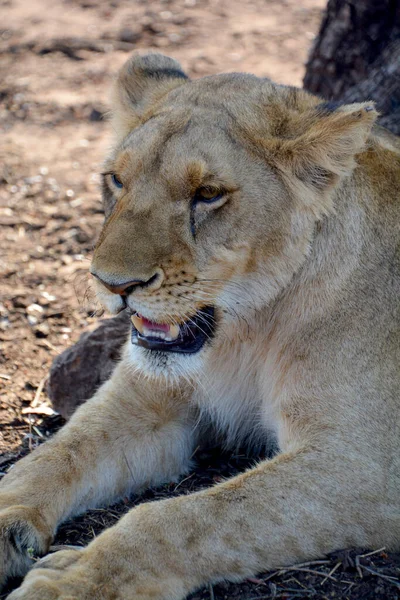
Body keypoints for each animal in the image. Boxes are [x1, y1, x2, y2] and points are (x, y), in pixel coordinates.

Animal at [0, 54, 400, 596]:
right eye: (116, 180)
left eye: (208, 193)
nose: (113, 283)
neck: (247, 332)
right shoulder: (145, 399)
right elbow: (54, 456)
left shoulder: (364, 466)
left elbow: (182, 519)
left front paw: (74, 582)